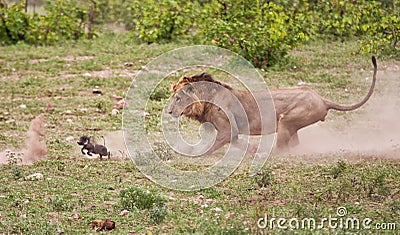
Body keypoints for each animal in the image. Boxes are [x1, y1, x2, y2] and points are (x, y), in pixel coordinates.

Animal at [166, 55, 378, 154]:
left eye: (178, 98)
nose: (168, 112)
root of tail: (322, 99)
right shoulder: (230, 133)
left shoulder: (227, 130)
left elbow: (209, 148)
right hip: (292, 125)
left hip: (286, 120)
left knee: (282, 149)